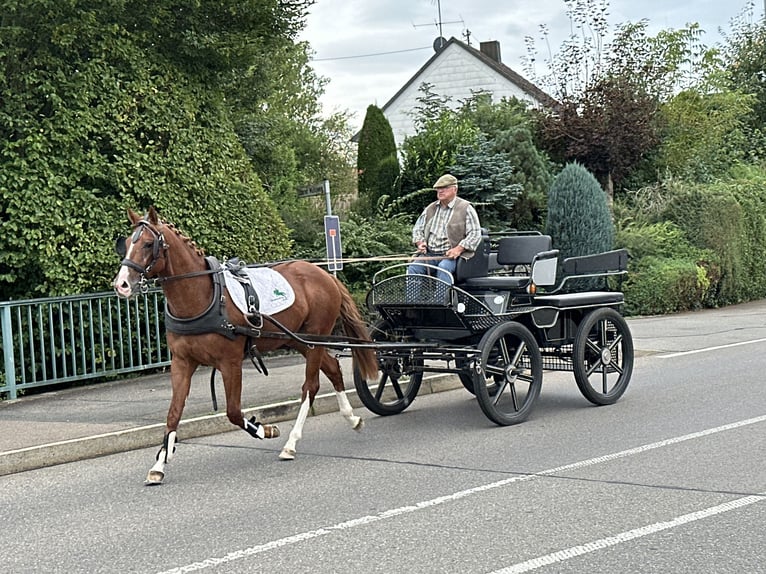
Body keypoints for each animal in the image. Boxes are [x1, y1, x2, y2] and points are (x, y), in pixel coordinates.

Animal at [112, 207, 380, 486]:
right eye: (126, 244)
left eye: (148, 243)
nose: (121, 284)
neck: (204, 295)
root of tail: (325, 275)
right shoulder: (182, 362)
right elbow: (174, 413)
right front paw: (159, 464)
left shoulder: (230, 363)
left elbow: (233, 411)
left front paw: (264, 429)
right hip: (298, 340)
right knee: (333, 369)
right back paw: (352, 417)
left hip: (314, 339)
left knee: (311, 386)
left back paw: (291, 443)